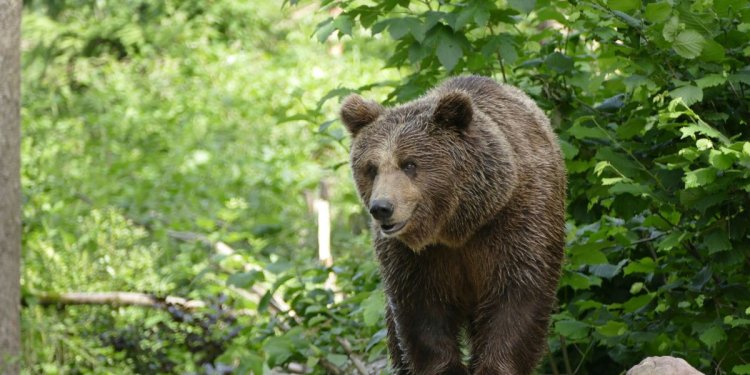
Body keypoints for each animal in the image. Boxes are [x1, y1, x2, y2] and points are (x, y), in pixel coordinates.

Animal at [340, 75, 564, 374]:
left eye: (409, 164)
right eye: (372, 168)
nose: (382, 208)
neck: (457, 227)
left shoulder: (515, 222)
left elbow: (516, 299)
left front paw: (494, 366)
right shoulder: (414, 258)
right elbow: (422, 313)